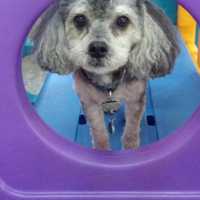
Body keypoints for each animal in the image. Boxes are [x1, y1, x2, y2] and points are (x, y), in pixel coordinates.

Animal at [29, 0, 180, 150]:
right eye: (79, 19)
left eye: (123, 20)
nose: (97, 48)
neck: (108, 83)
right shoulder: (89, 102)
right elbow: (98, 131)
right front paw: (102, 149)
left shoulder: (135, 98)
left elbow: (131, 130)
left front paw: (130, 146)